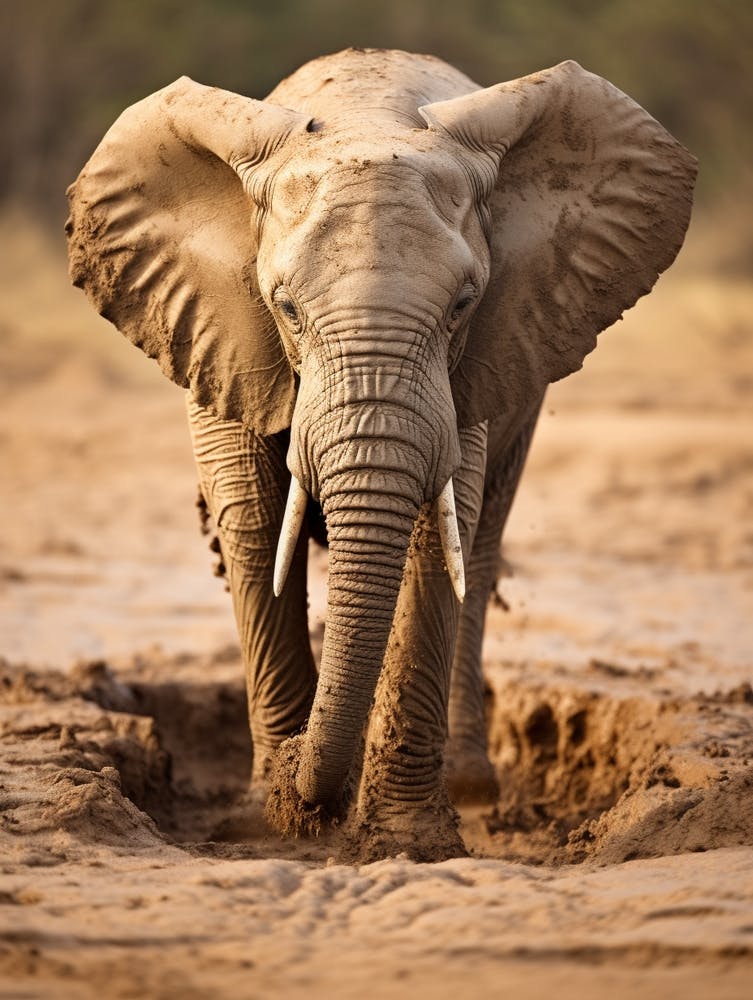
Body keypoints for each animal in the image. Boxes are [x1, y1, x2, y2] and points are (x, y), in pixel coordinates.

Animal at [66, 47, 695, 861]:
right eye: (284, 306)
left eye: (464, 303)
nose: (305, 781)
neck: (365, 118)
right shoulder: (217, 331)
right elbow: (254, 524)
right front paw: (275, 818)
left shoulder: (472, 365)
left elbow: (438, 534)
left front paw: (407, 839)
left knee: (478, 548)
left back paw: (468, 784)